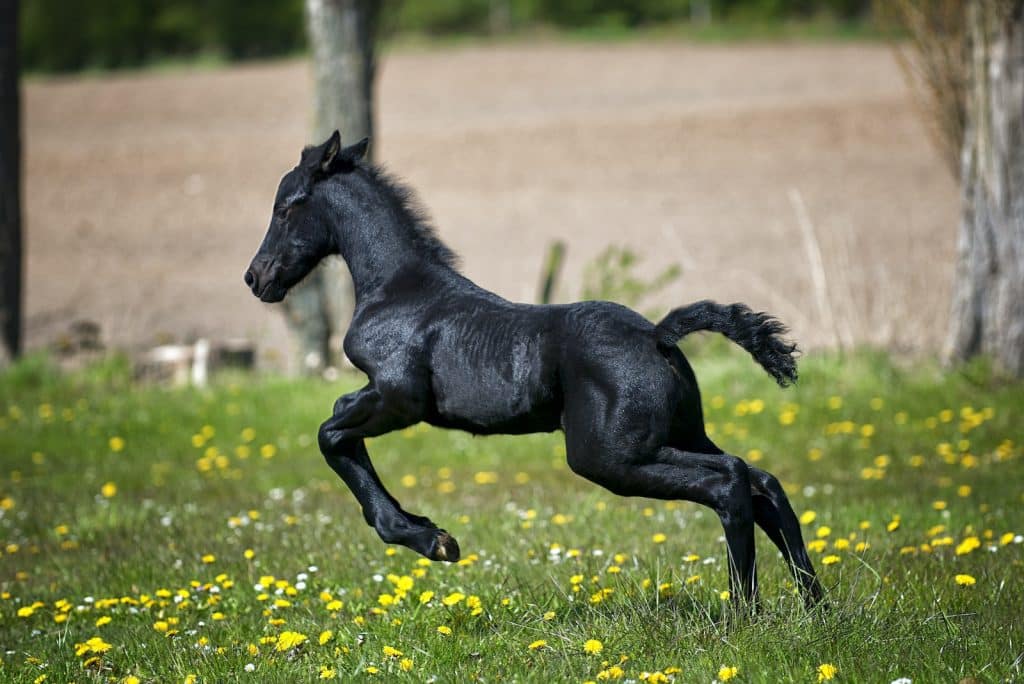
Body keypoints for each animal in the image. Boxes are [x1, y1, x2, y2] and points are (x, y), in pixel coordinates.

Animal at [244, 131, 823, 607]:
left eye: (284, 208)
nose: (256, 278)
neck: (398, 289)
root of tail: (657, 335)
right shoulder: (384, 398)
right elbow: (338, 428)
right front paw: (429, 532)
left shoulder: (398, 398)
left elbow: (331, 432)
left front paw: (431, 539)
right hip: (676, 434)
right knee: (763, 481)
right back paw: (814, 606)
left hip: (611, 456)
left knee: (730, 481)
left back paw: (744, 611)